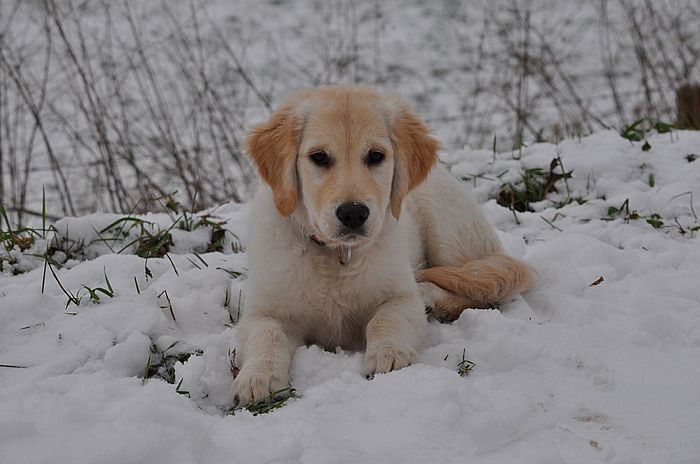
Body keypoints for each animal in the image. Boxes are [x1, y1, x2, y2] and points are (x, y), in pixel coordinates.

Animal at [232, 86, 533, 405]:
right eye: (319, 157)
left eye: (375, 156)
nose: (353, 214)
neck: (337, 255)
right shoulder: (263, 312)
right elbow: (268, 334)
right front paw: (258, 377)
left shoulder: (400, 297)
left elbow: (385, 317)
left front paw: (389, 352)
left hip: (449, 231)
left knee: (481, 292)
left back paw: (430, 296)